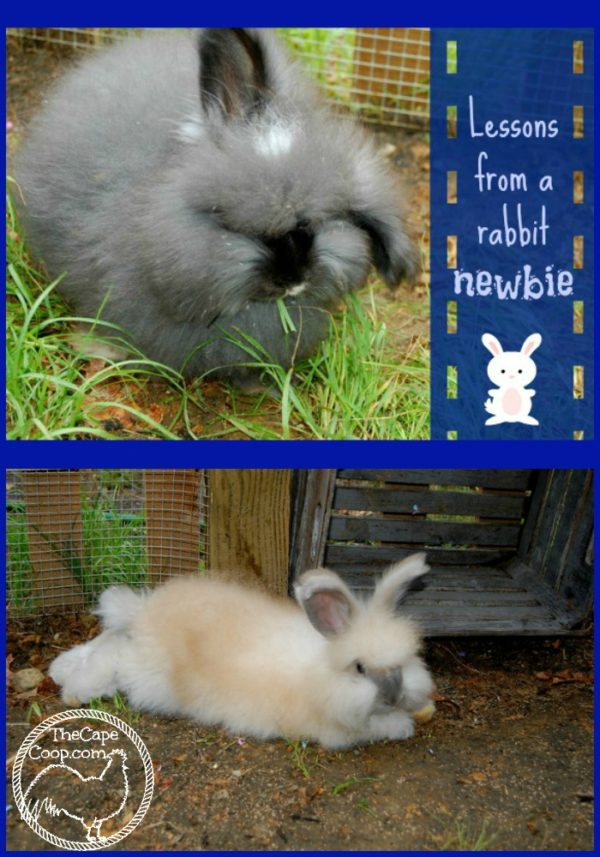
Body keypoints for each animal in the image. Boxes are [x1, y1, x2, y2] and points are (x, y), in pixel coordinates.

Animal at [49, 554, 434, 749]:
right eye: (359, 668)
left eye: (406, 662)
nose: (394, 695)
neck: (320, 672)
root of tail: (144, 613)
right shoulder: (338, 730)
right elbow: (375, 726)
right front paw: (402, 725)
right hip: (146, 674)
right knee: (114, 654)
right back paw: (75, 689)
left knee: (111, 637)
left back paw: (60, 670)